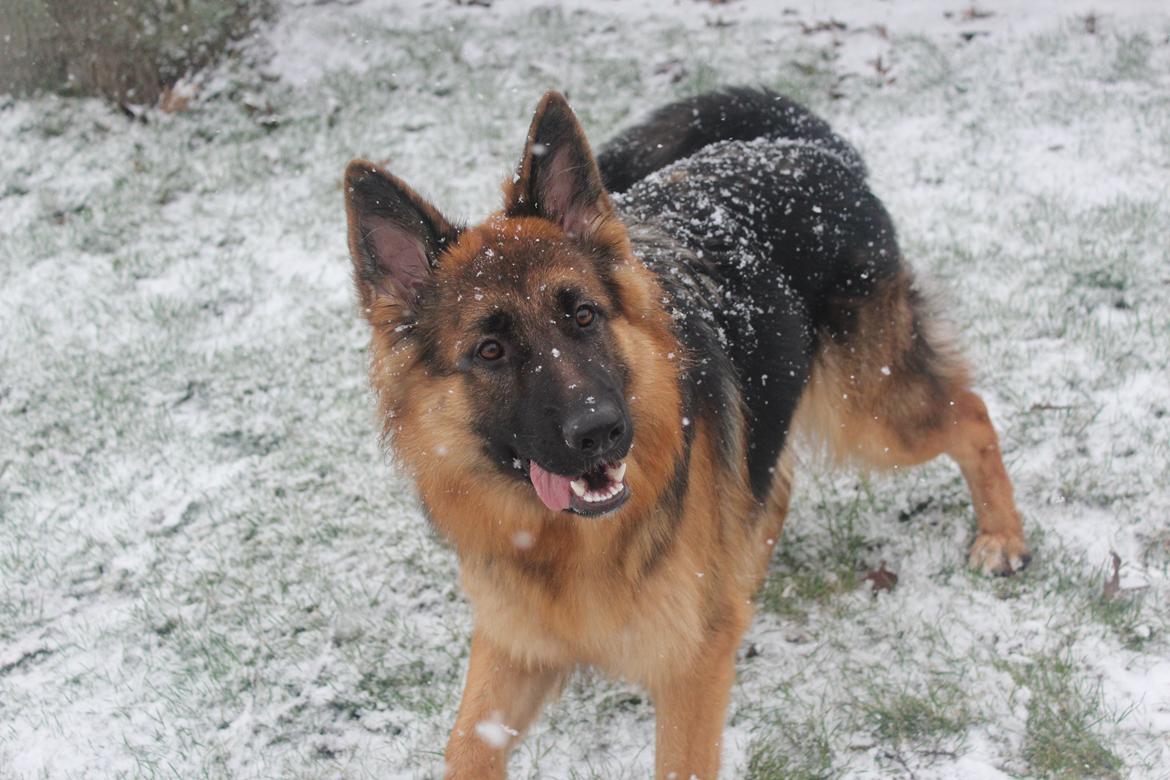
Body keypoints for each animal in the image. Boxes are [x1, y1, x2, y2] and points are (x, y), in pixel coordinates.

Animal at [341, 88, 1029, 776]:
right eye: (489, 351)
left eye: (583, 316)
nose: (601, 431)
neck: (566, 542)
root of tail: (803, 145)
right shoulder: (515, 644)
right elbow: (464, 741)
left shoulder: (688, 673)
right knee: (775, 488)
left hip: (872, 413)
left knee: (970, 413)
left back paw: (1002, 537)